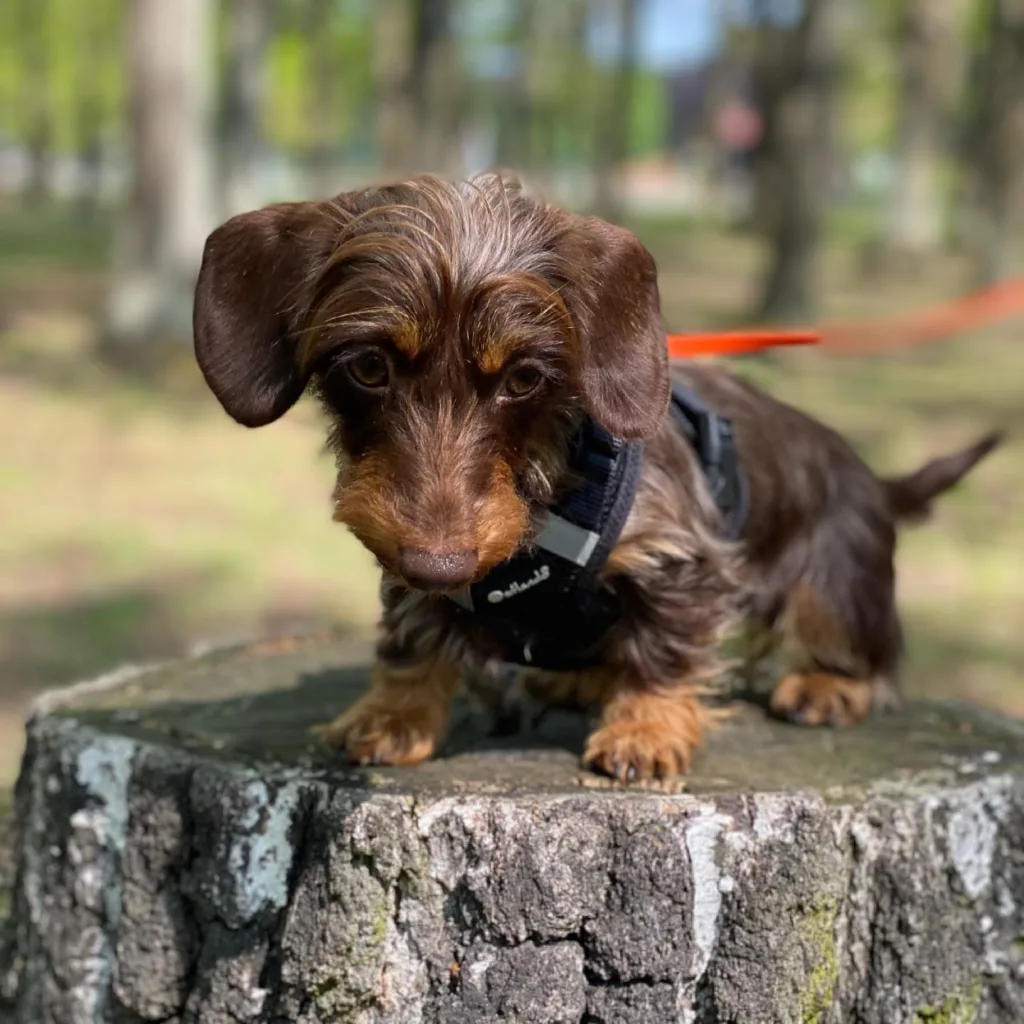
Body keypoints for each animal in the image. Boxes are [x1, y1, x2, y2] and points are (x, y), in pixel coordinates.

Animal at [192, 174, 999, 782]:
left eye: (523, 378)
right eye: (367, 366)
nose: (440, 563)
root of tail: (873, 478)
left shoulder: (682, 555)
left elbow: (665, 651)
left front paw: (647, 728)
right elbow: (413, 638)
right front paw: (390, 713)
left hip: (835, 588)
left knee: (865, 651)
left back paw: (830, 686)